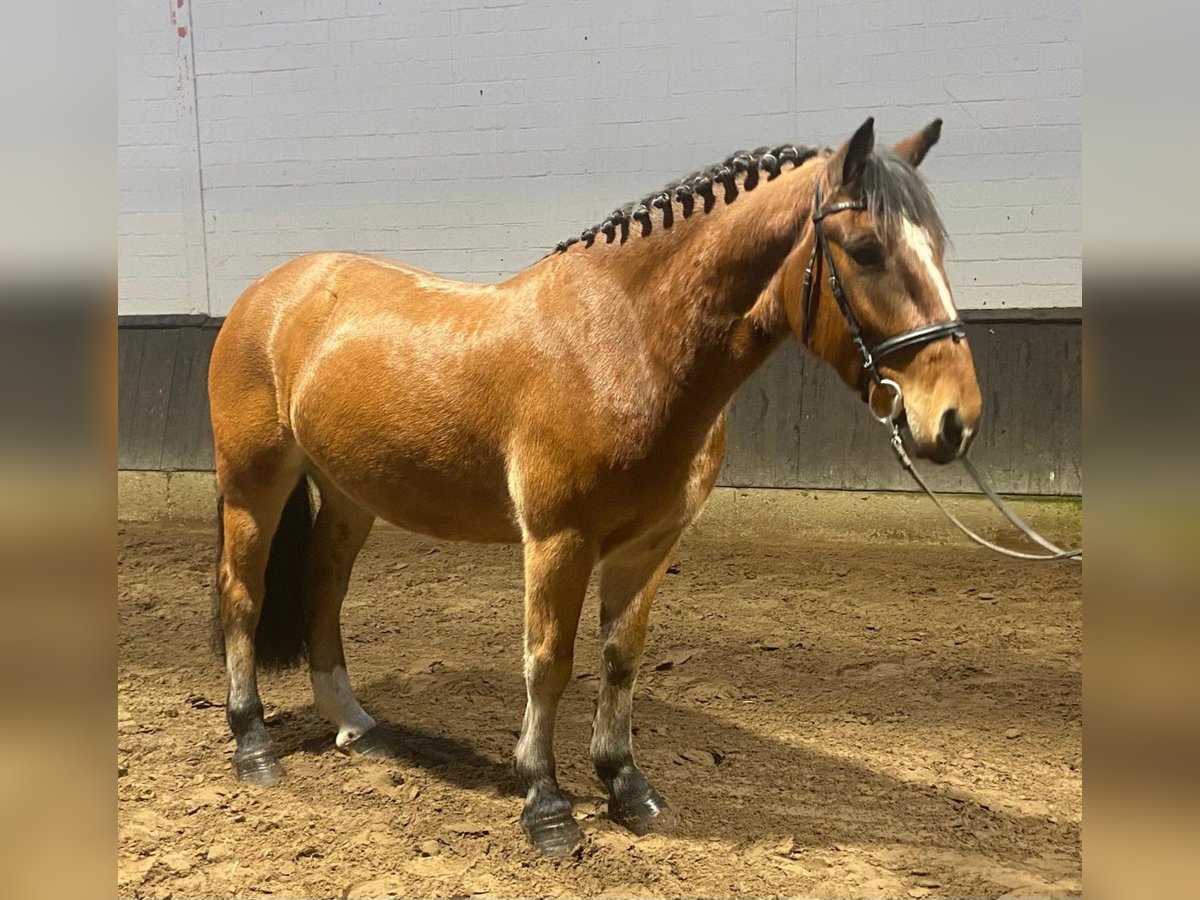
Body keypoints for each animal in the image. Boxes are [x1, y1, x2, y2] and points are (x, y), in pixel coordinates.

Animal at [211, 116, 979, 854]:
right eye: (866, 250)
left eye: (939, 247)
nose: (955, 419)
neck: (624, 343)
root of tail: (269, 293)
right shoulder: (559, 540)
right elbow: (549, 662)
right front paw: (546, 804)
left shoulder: (648, 544)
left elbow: (621, 659)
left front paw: (626, 786)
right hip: (254, 485)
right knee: (243, 596)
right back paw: (252, 744)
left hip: (348, 495)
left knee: (323, 588)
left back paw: (352, 722)